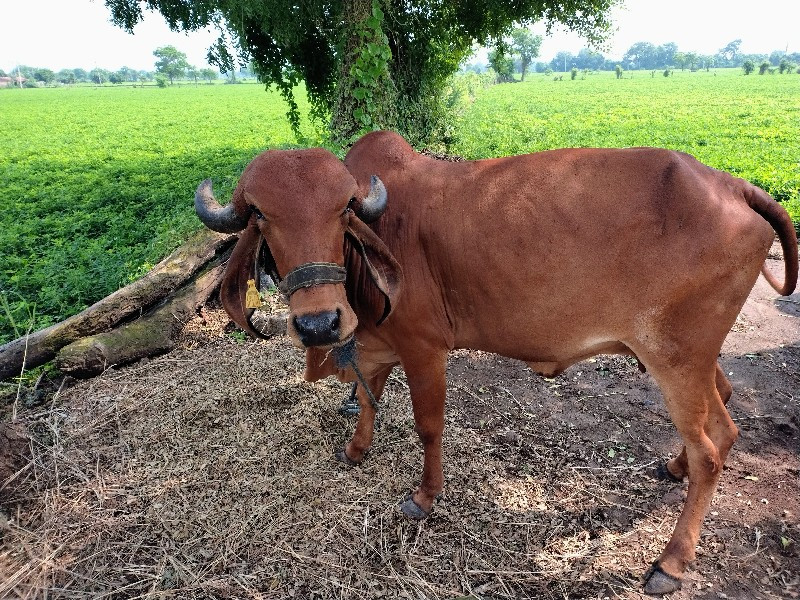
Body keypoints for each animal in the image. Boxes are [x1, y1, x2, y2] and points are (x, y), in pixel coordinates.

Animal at [195, 129, 800, 592]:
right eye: (261, 217)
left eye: (343, 211)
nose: (318, 323)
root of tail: (733, 185)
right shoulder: (376, 343)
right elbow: (368, 397)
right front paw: (357, 448)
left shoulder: (424, 348)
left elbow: (427, 425)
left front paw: (424, 497)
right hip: (691, 357)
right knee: (722, 412)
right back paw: (674, 468)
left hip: (675, 359)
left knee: (712, 450)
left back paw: (671, 561)